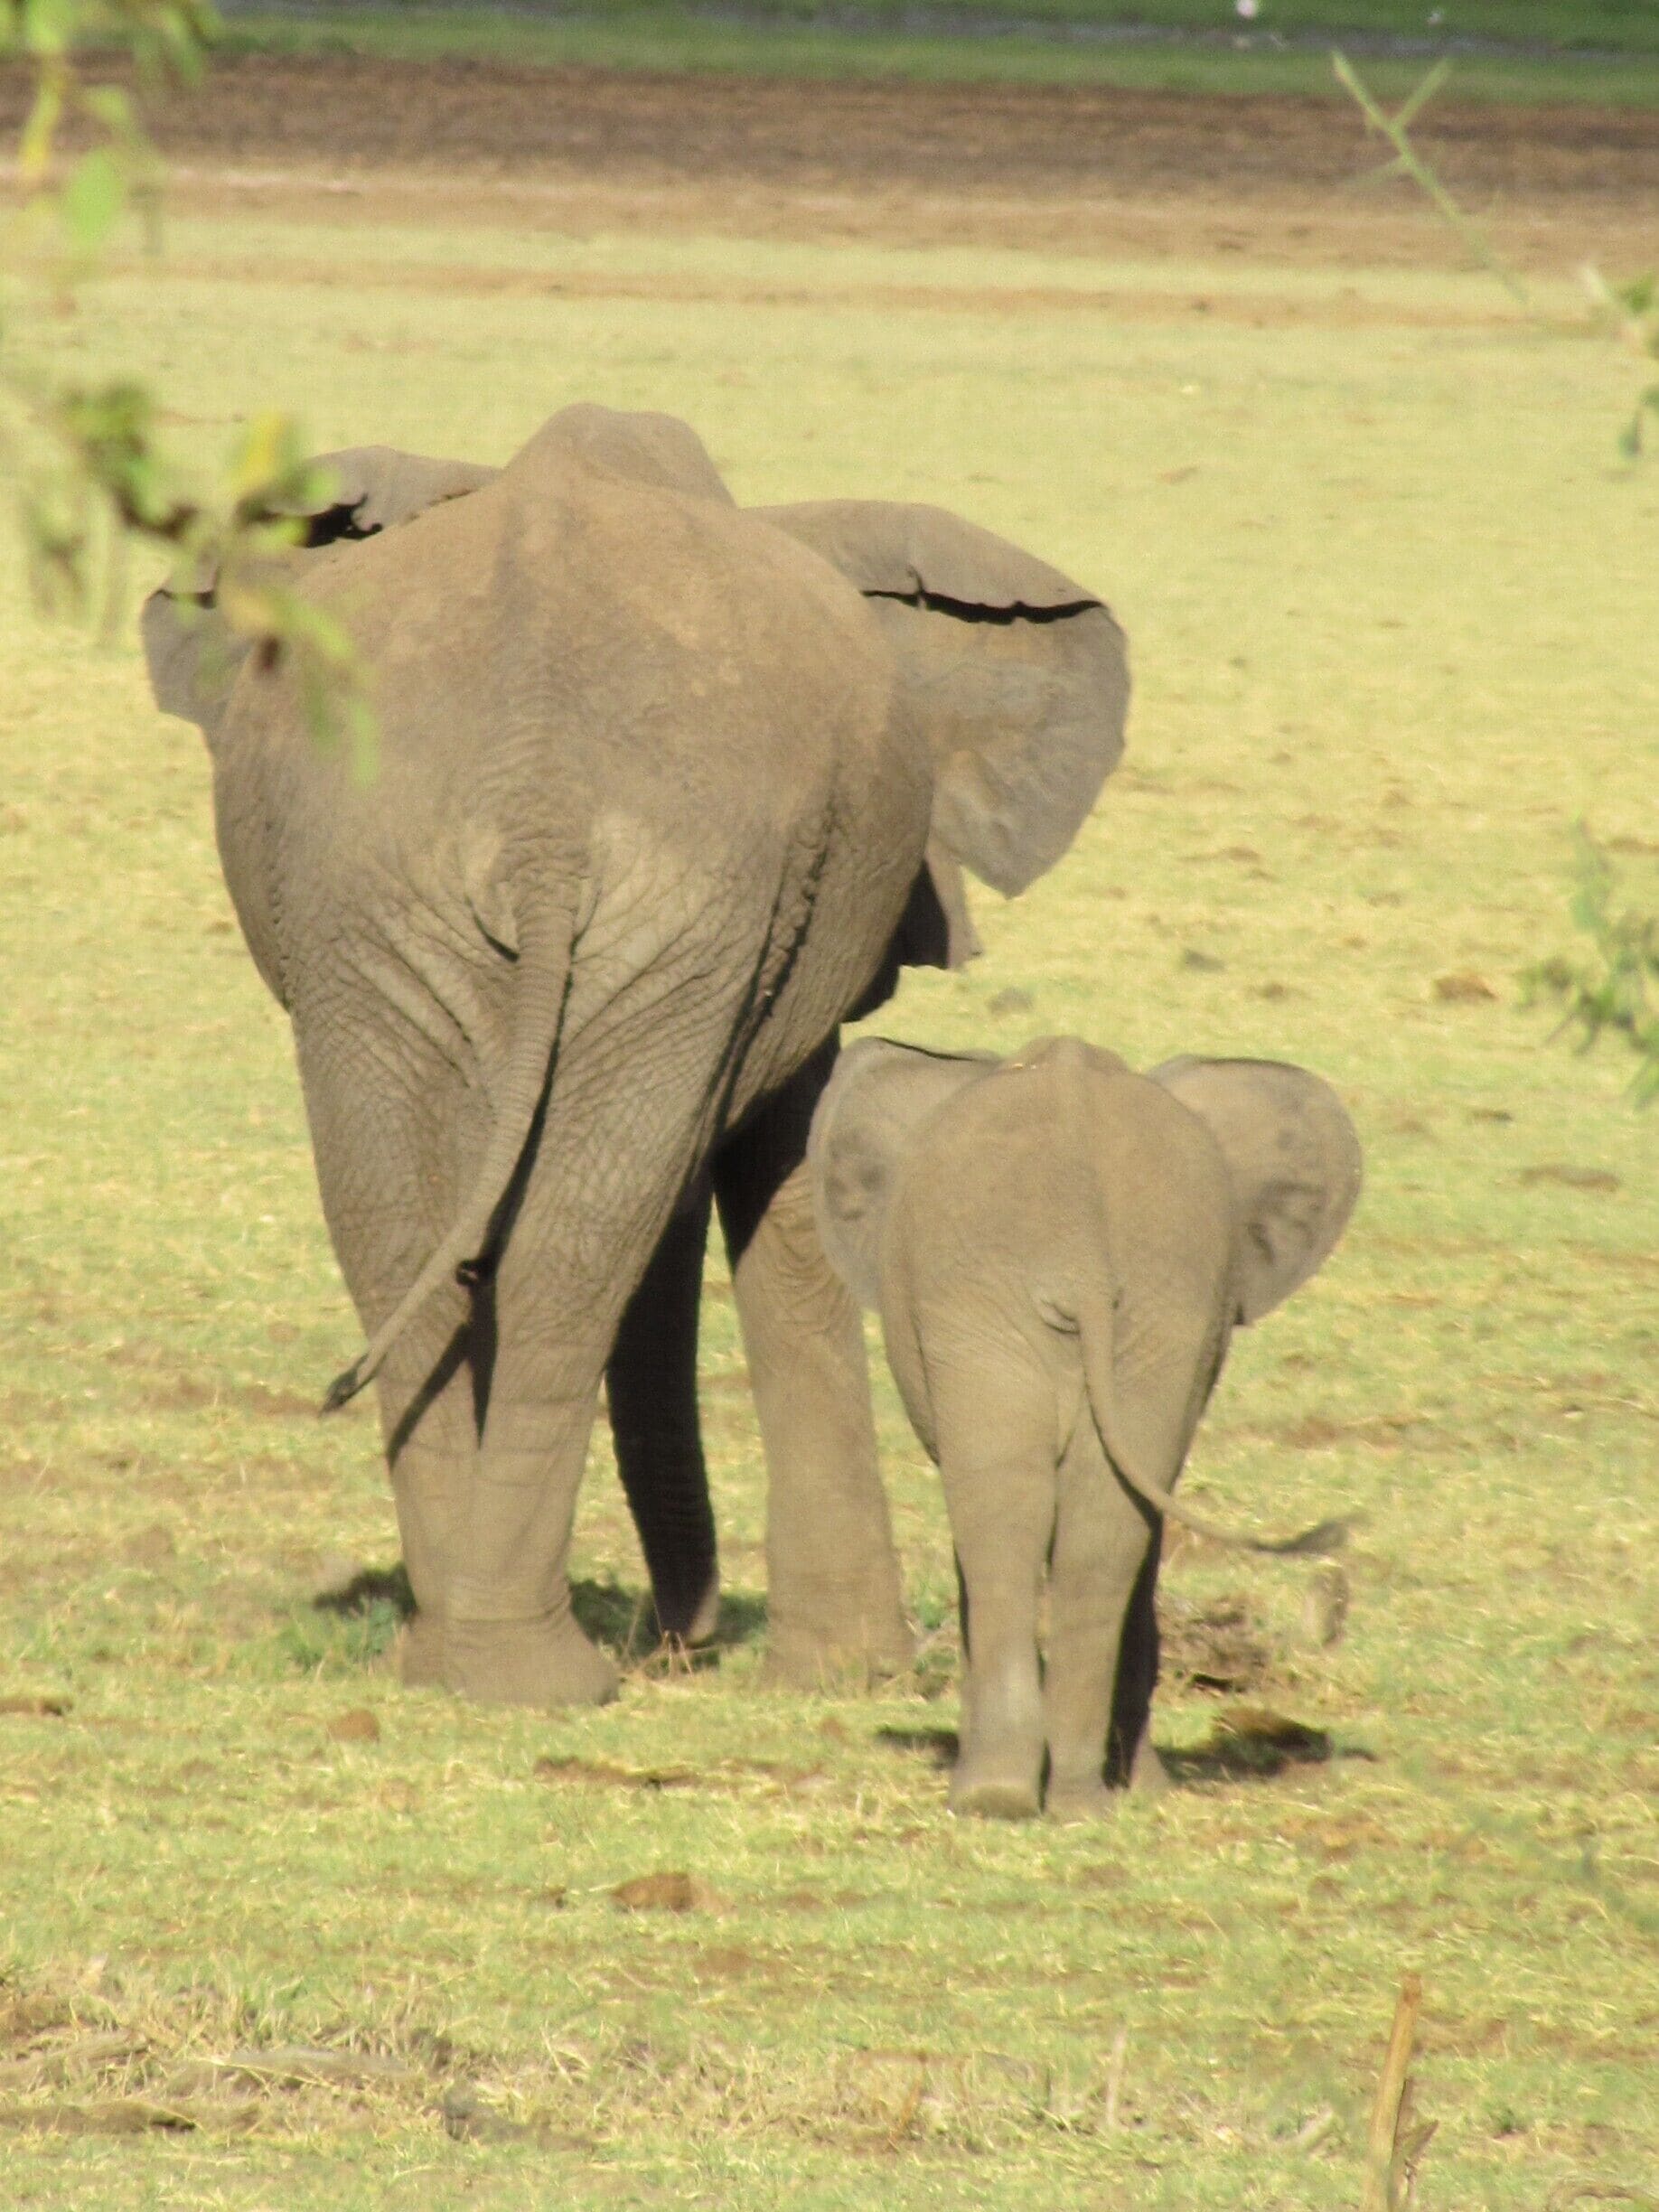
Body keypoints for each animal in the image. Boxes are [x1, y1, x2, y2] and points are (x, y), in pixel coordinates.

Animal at [141, 403, 1130, 1706]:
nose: (683, 1636)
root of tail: (542, 800)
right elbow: (786, 1203)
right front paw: (853, 1673)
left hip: (389, 877)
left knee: (418, 1233)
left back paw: (456, 1660)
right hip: (628, 893)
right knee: (566, 1245)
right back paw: (528, 1673)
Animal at [806, 1035, 1362, 1817]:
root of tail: (1084, 1267)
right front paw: (1144, 1788)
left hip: (999, 1304)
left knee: (1016, 1514)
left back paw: (1000, 1795)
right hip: (1145, 1309)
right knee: (1084, 1526)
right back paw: (1056, 1801)